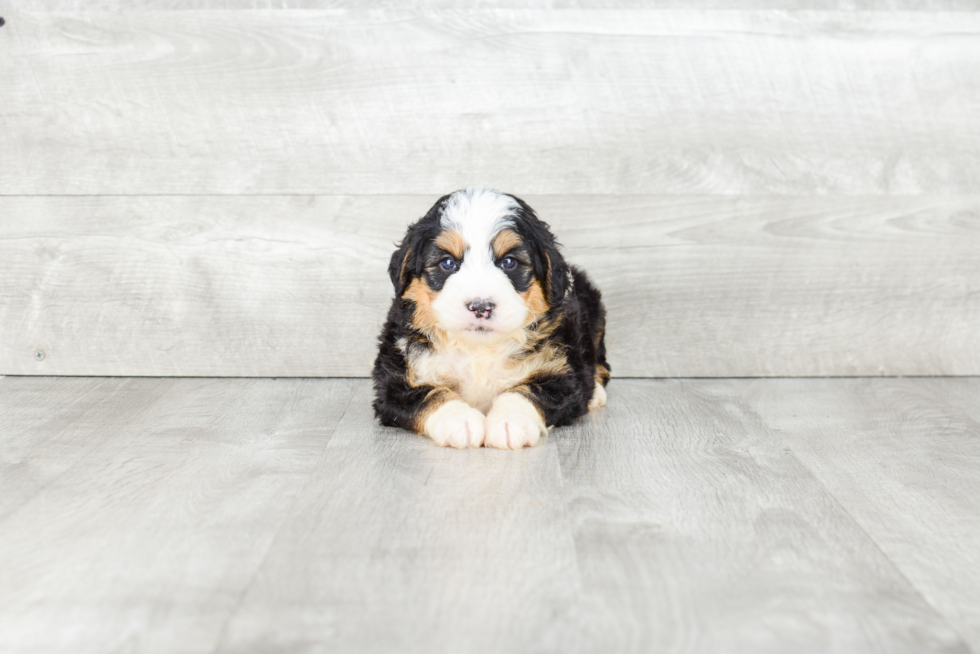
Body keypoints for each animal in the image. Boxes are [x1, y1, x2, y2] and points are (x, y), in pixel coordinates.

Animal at [374, 187, 608, 448]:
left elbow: (532, 390)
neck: (478, 348)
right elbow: (428, 394)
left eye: (509, 262)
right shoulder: (395, 377)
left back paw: (597, 393)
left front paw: (510, 421)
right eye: (448, 263)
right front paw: (459, 421)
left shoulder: (563, 370)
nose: (480, 306)